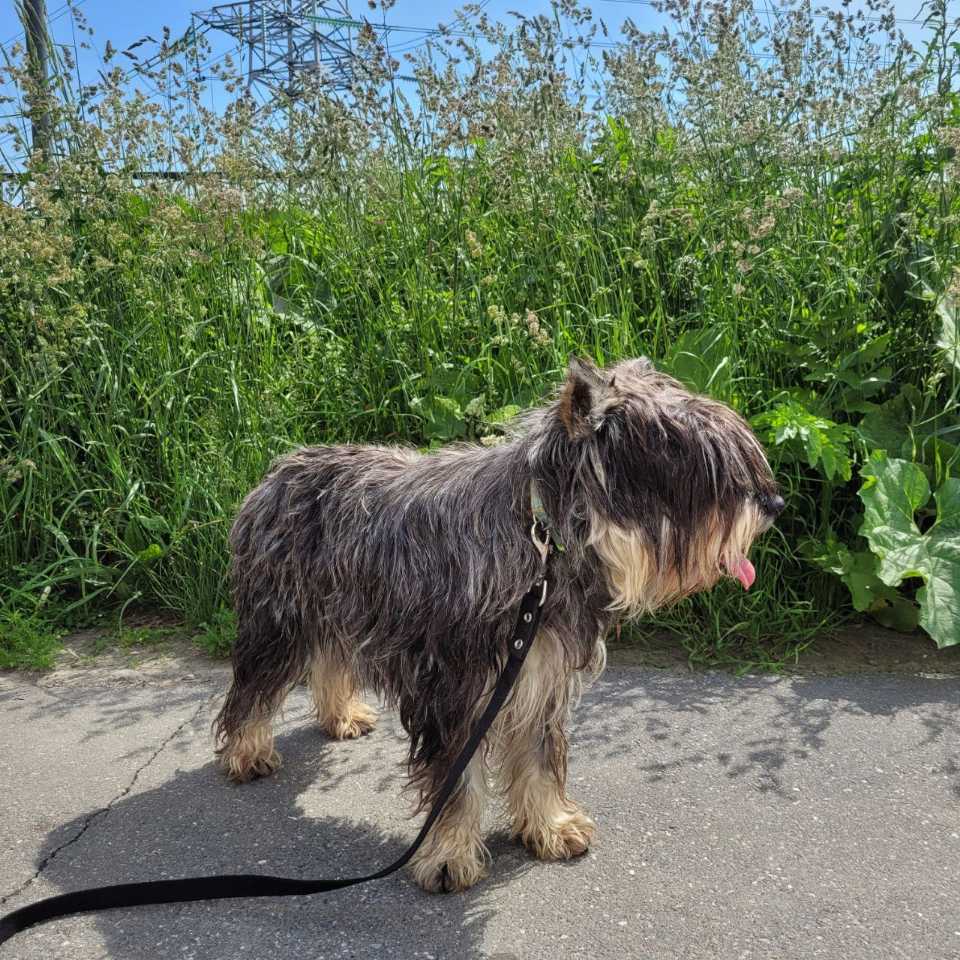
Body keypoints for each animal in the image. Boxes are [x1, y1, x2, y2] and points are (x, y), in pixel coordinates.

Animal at [214, 356, 784, 892]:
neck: (541, 535)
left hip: (341, 612)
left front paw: (550, 827)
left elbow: (538, 762)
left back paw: (341, 715)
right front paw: (448, 856)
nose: (774, 503)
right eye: (699, 465)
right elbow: (457, 784)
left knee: (331, 662)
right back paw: (247, 751)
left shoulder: (539, 677)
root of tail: (279, 470)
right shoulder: (455, 693)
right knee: (251, 689)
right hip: (279, 624)